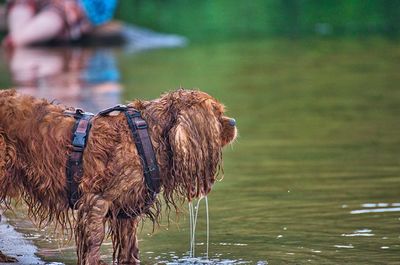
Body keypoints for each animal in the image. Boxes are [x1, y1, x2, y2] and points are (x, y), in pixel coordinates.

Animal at [0, 89, 236, 264]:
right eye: (217, 114)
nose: (233, 121)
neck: (148, 135)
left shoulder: (125, 210)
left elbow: (129, 246)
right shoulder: (96, 202)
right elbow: (93, 243)